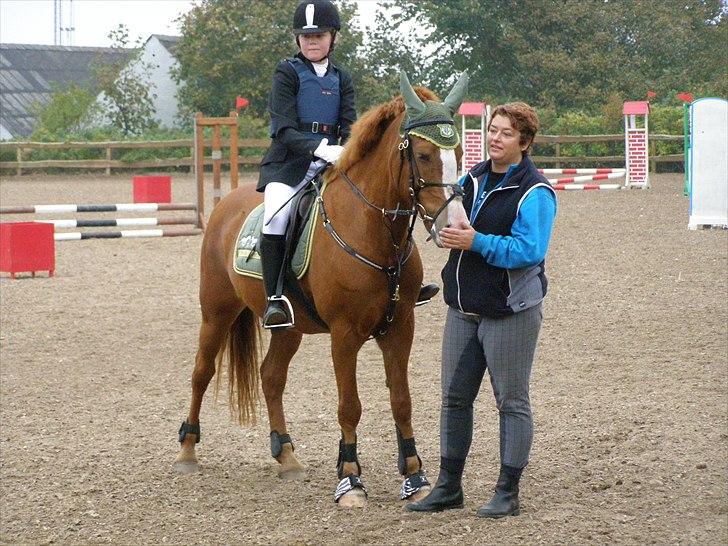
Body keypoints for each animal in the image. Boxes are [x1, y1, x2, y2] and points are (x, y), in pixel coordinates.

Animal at [177, 72, 472, 506]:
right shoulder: (345, 334)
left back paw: (286, 456)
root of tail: (226, 203)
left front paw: (415, 477)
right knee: (202, 371)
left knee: (271, 377)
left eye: (460, 155)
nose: (454, 227)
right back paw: (187, 450)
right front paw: (350, 479)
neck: (374, 232)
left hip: (289, 327)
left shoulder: (400, 328)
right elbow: (350, 406)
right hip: (216, 312)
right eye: (422, 155)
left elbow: (402, 401)